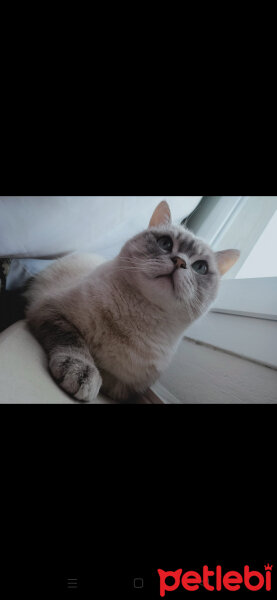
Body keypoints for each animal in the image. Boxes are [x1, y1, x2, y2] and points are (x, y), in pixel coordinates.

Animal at [24, 202, 239, 404]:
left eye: (200, 267)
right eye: (165, 243)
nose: (179, 261)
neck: (136, 317)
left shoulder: (128, 388)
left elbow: (108, 378)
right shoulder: (51, 310)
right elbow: (74, 341)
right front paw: (83, 372)